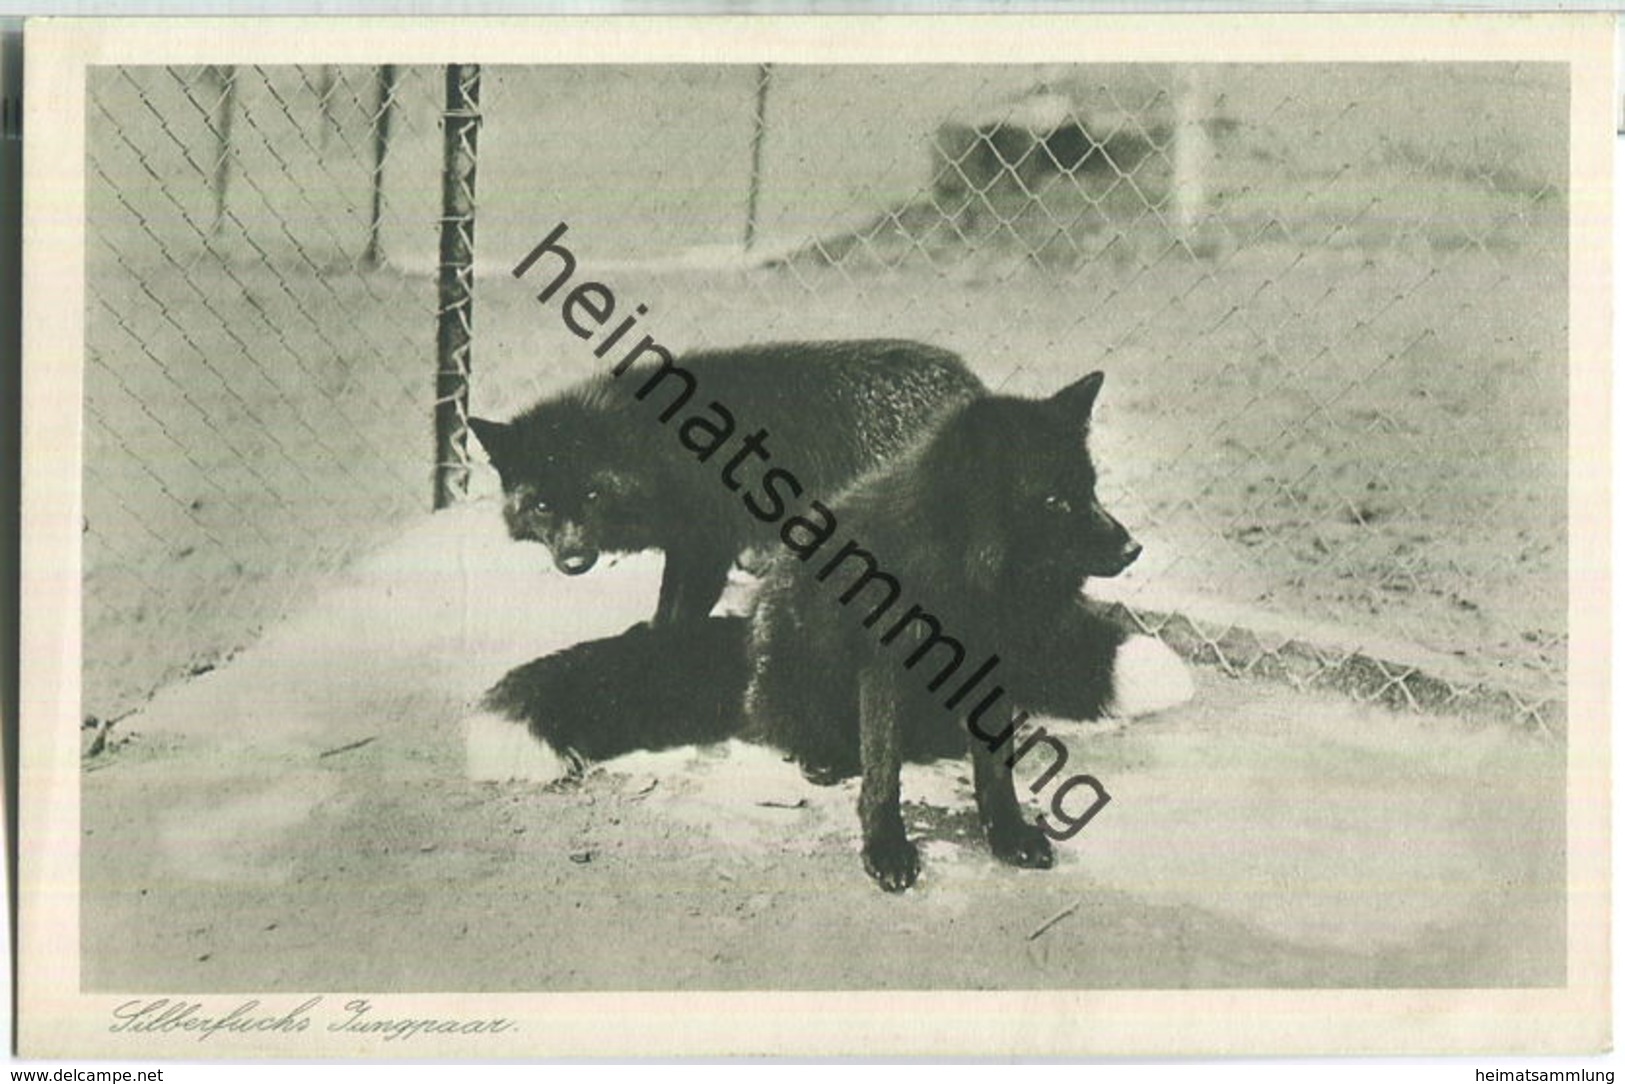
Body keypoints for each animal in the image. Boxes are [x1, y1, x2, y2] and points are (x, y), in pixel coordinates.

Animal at [464, 339, 981, 627]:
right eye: (543, 506)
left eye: (593, 495)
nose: (573, 560)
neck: (653, 448)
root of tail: (970, 384)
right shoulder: (686, 546)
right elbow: (663, 609)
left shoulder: (707, 547)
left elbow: (677, 619)